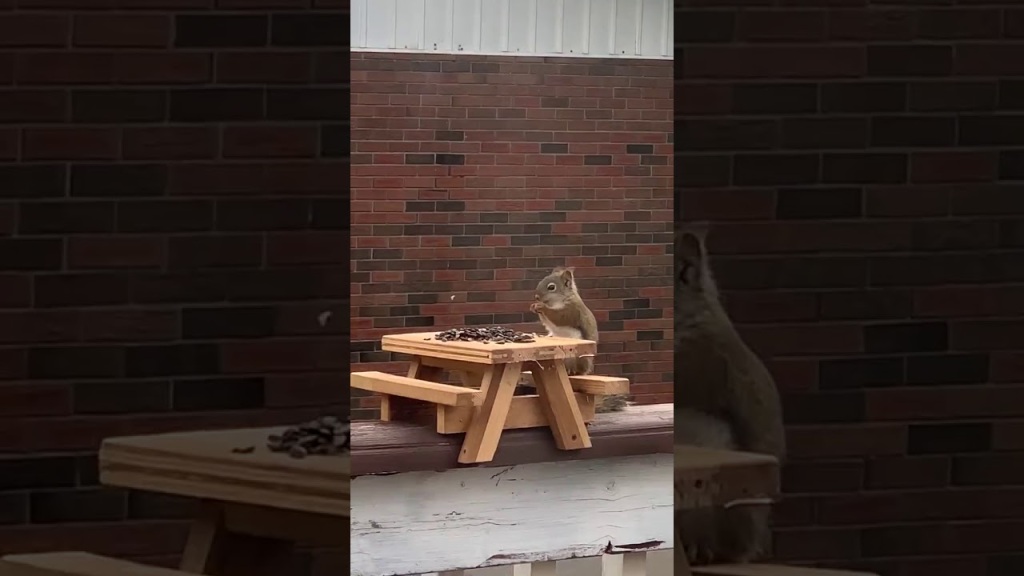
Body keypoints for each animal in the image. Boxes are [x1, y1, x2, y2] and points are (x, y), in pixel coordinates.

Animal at [528, 266, 627, 413]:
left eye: (551, 287)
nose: (537, 297)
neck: (562, 299)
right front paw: (534, 306)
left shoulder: (571, 311)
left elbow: (558, 317)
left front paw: (541, 307)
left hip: (575, 356)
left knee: (577, 370)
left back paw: (572, 371)